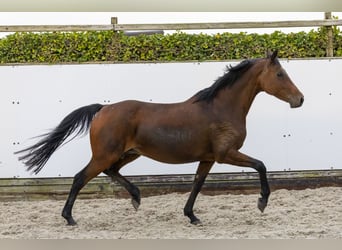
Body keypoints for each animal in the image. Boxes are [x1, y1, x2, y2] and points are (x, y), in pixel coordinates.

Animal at [16, 50, 304, 225]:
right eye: (280, 74)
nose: (299, 99)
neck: (220, 108)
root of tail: (103, 108)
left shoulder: (208, 158)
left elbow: (197, 184)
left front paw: (191, 216)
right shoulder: (226, 154)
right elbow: (261, 165)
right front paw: (262, 202)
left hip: (127, 154)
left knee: (111, 171)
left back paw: (136, 197)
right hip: (105, 154)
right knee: (80, 178)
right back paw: (69, 218)